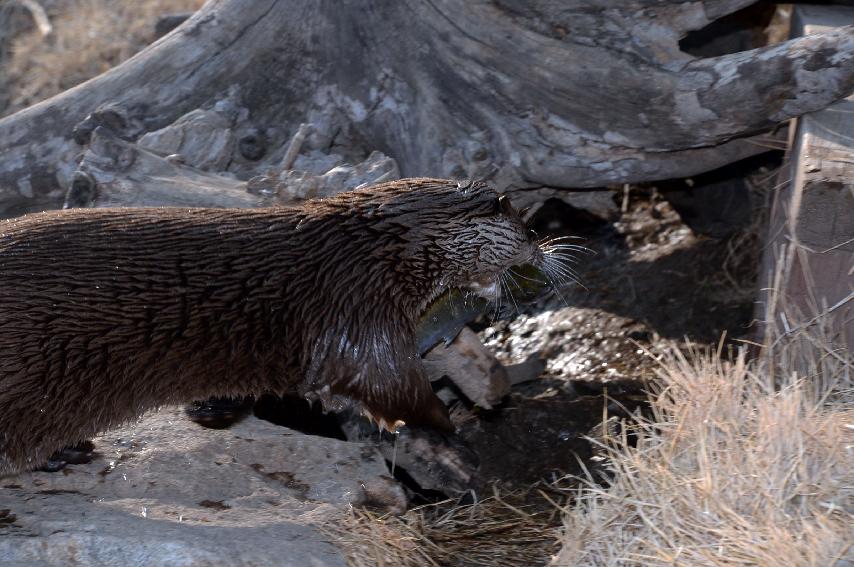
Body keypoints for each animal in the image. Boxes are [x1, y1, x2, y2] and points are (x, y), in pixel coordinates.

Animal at [0, 178, 544, 474]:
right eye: (526, 225)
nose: (540, 249)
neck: (377, 250)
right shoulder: (359, 310)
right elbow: (393, 386)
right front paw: (449, 433)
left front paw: (214, 408)